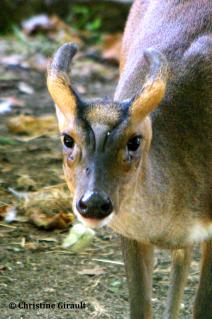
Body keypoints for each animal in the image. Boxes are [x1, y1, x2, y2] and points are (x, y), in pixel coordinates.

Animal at [47, 0, 211, 319]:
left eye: (134, 141)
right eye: (67, 139)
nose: (93, 203)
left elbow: (202, 306)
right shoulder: (130, 232)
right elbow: (140, 306)